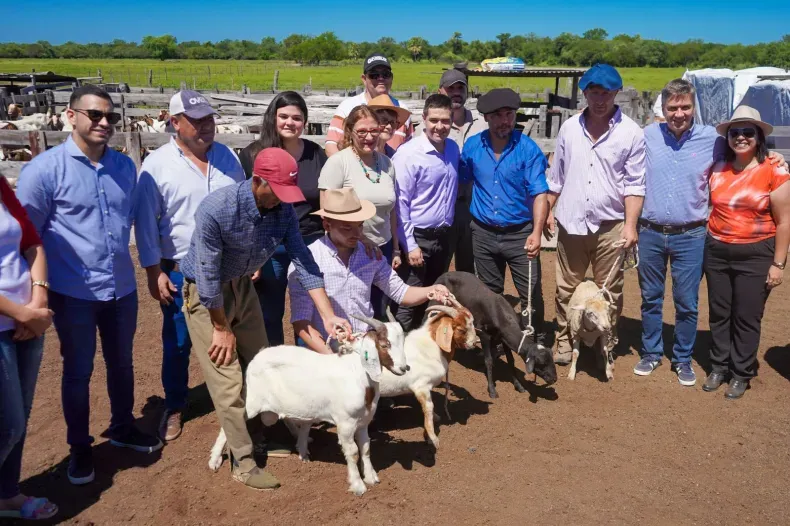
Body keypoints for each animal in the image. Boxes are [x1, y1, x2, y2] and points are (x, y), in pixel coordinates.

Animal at [207, 315, 407, 497]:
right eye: (385, 345)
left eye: (402, 341)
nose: (404, 368)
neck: (357, 373)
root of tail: (258, 356)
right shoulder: (346, 423)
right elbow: (353, 452)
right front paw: (358, 486)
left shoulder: (364, 421)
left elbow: (365, 448)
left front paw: (371, 477)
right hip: (252, 400)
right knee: (230, 423)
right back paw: (214, 460)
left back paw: (301, 444)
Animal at [378, 303, 478, 449]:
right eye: (461, 329)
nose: (474, 343)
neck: (429, 348)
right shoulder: (421, 386)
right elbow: (429, 408)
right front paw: (433, 439)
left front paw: (436, 419)